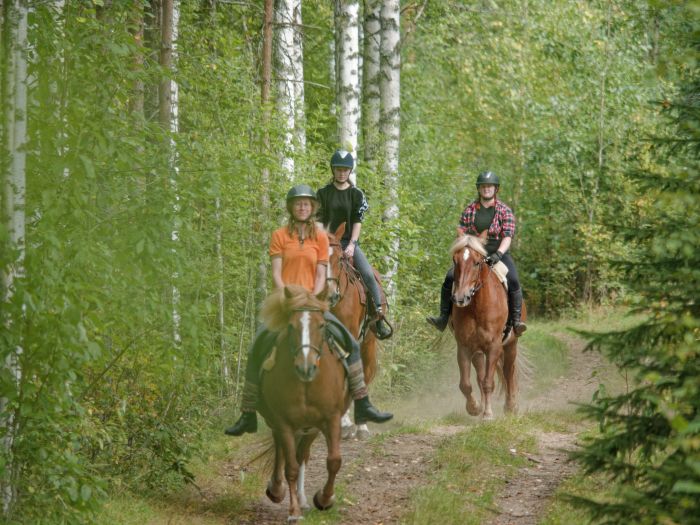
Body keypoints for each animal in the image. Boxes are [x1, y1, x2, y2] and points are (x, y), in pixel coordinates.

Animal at [256, 284, 350, 516]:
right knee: (282, 451)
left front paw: (324, 499)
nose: (305, 367)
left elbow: (334, 461)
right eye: (291, 326)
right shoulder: (284, 423)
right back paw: (277, 489)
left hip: (311, 429)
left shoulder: (331, 418)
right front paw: (293, 511)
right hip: (281, 424)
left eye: (322, 325)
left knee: (302, 455)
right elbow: (289, 467)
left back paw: (303, 497)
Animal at [326, 222, 380, 438]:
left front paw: (355, 424)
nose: (330, 294)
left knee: (364, 373)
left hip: (368, 342)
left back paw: (361, 425)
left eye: (340, 259)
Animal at [448, 233, 524, 418]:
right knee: (480, 377)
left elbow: (489, 382)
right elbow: (466, 384)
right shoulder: (465, 347)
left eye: (477, 262)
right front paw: (474, 408)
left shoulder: (494, 346)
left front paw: (488, 414)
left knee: (508, 372)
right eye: (455, 261)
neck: (477, 307)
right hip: (478, 352)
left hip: (511, 345)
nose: (460, 298)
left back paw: (510, 406)